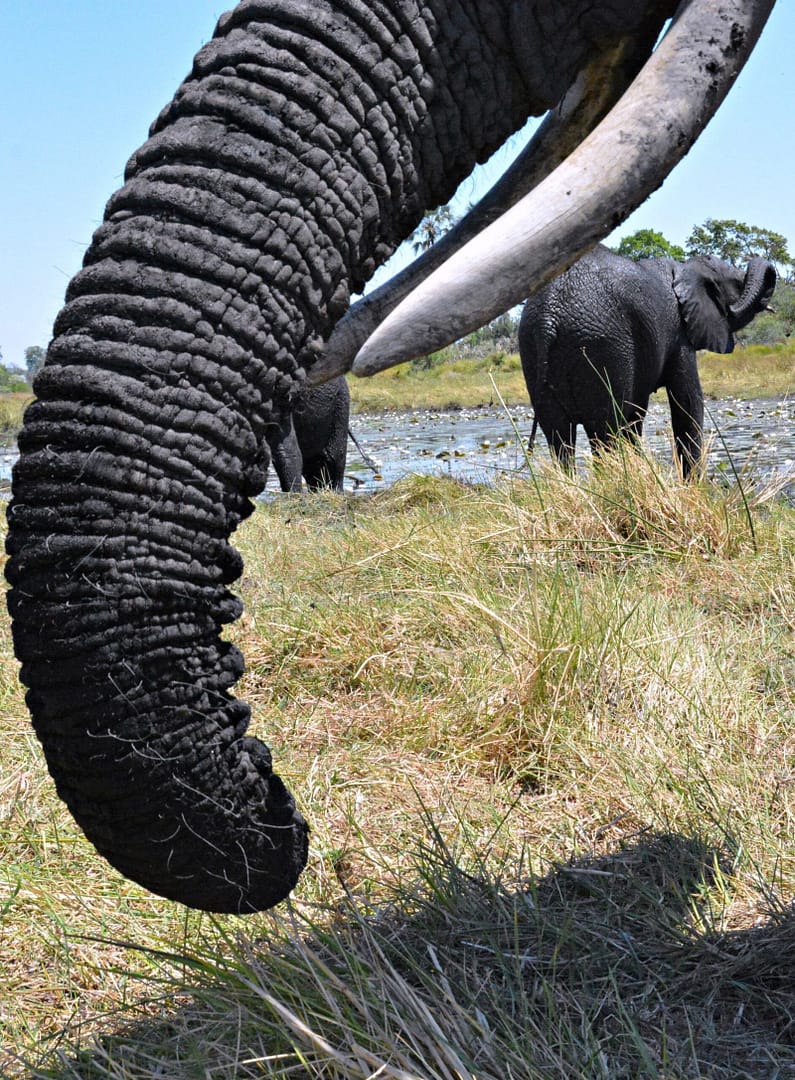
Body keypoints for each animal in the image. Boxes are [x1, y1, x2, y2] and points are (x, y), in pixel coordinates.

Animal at [518, 246, 777, 477]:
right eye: (738, 283)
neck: (686, 269)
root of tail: (549, 317)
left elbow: (637, 415)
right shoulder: (679, 335)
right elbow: (687, 403)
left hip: (532, 348)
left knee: (559, 436)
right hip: (600, 344)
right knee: (604, 431)